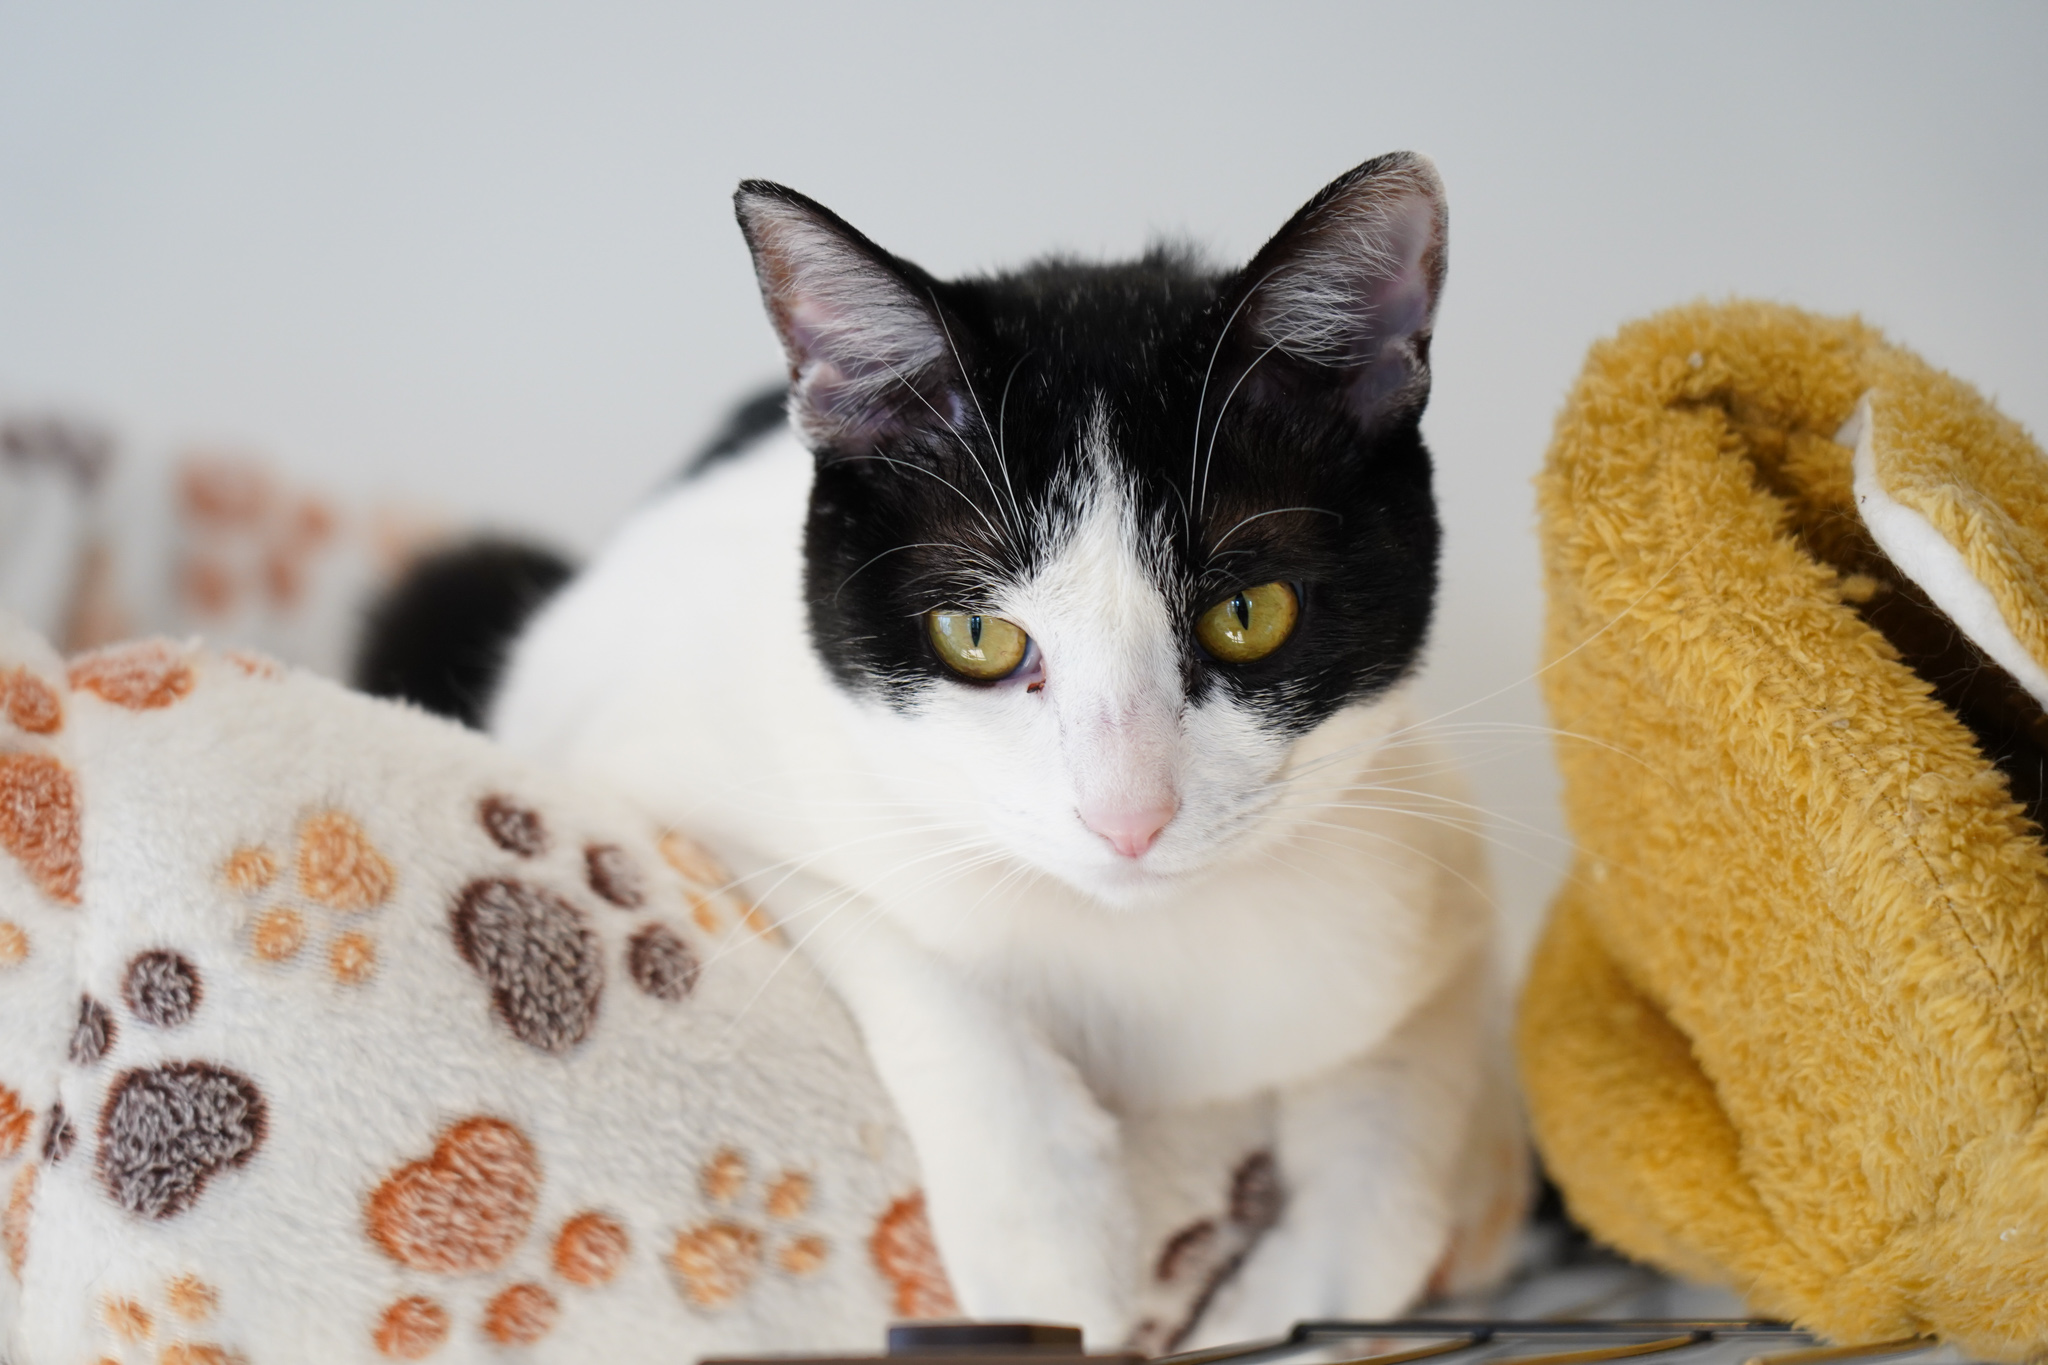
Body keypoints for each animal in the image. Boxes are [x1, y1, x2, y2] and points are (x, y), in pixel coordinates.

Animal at [482, 152, 1528, 1347]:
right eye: (977, 634)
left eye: (1248, 613)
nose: (1128, 817)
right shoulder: (629, 746)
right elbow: (887, 935)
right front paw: (1049, 1246)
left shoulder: (1426, 879)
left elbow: (1395, 1162)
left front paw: (1267, 1308)